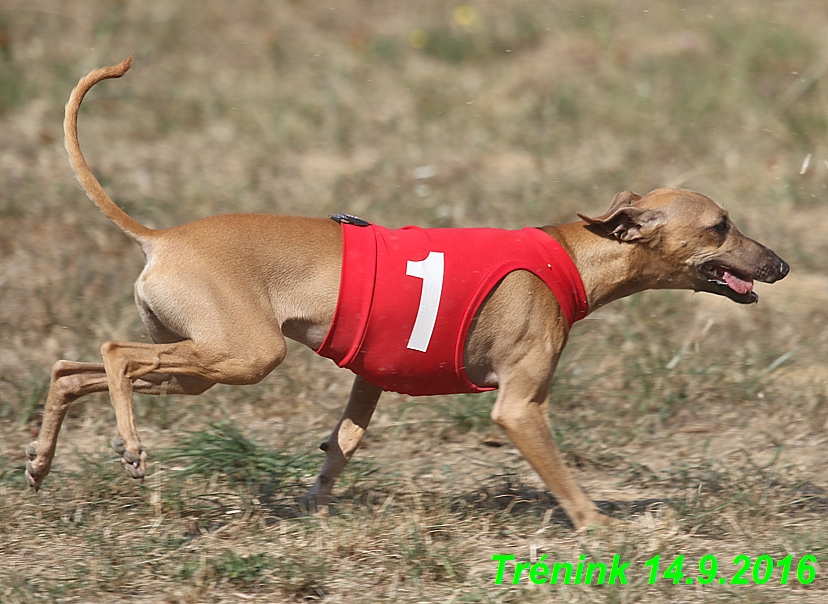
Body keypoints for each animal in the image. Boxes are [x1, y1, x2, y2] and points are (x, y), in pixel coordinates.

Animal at [25, 56, 788, 528]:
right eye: (721, 226)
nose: (780, 264)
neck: (573, 254)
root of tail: (161, 237)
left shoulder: (370, 379)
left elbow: (338, 449)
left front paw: (310, 509)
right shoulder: (519, 408)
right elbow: (565, 482)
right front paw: (602, 529)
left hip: (198, 364)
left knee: (70, 369)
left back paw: (38, 461)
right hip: (242, 355)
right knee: (114, 354)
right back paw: (128, 448)